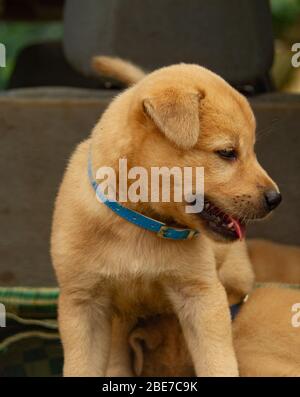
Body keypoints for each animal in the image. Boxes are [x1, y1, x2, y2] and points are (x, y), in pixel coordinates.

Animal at [51, 58, 278, 374]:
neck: (138, 225)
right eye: (227, 152)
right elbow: (82, 367)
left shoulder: (201, 295)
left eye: (252, 151)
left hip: (235, 276)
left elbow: (218, 361)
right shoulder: (83, 304)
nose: (276, 198)